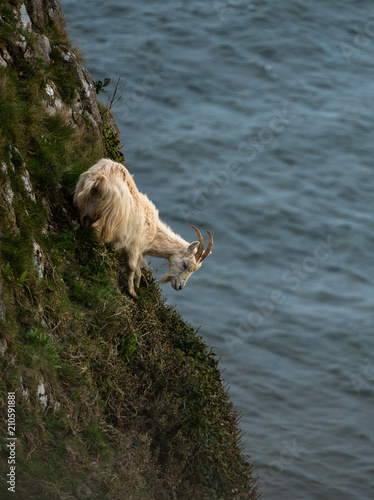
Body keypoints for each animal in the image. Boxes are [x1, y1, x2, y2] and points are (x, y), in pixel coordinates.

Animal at [74, 158, 213, 294]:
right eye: (185, 265)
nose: (180, 287)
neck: (154, 234)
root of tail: (99, 177)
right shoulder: (134, 246)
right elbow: (132, 268)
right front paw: (132, 292)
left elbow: (138, 271)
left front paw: (135, 285)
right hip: (110, 217)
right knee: (96, 229)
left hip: (85, 206)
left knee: (85, 222)